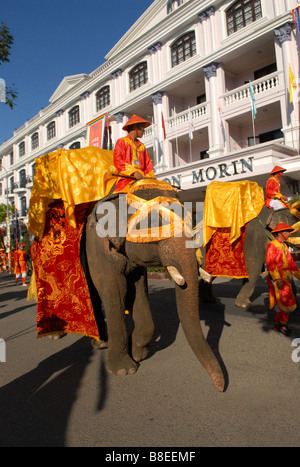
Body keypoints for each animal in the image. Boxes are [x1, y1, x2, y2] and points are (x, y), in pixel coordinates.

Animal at [84, 181, 225, 394]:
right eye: (154, 223)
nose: (220, 387)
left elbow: (139, 291)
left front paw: (138, 353)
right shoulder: (99, 249)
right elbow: (116, 293)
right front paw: (124, 371)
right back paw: (99, 343)